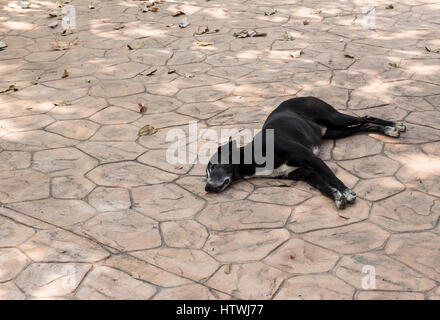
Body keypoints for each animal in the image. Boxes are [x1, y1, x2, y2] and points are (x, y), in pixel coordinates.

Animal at [206, 96, 406, 209]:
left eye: (214, 166)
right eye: (205, 174)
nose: (207, 188)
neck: (256, 156)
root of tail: (303, 95)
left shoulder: (311, 159)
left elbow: (333, 178)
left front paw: (347, 192)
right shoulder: (304, 173)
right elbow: (324, 186)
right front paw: (337, 197)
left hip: (335, 118)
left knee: (366, 117)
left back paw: (395, 125)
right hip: (337, 132)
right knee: (363, 126)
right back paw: (388, 130)